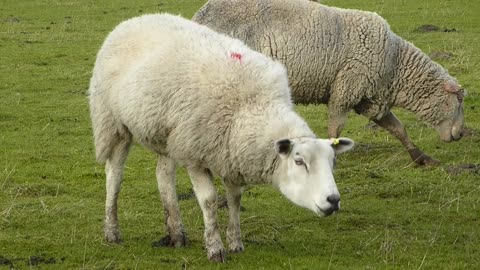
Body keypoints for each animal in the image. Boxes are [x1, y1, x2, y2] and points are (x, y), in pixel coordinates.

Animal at [88, 13, 354, 262]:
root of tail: (134, 20)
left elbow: (234, 199)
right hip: (114, 123)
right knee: (114, 175)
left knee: (164, 176)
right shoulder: (195, 155)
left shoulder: (230, 153)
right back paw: (112, 231)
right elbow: (209, 201)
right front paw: (215, 248)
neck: (250, 106)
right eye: (299, 162)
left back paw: (176, 234)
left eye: (332, 162)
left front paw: (236, 242)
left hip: (169, 137)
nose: (333, 200)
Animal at [192, 0, 464, 167]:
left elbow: (398, 129)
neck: (395, 64)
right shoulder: (346, 89)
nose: (461, 134)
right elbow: (336, 128)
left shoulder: (369, 98)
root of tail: (201, 14)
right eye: (459, 101)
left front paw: (421, 157)